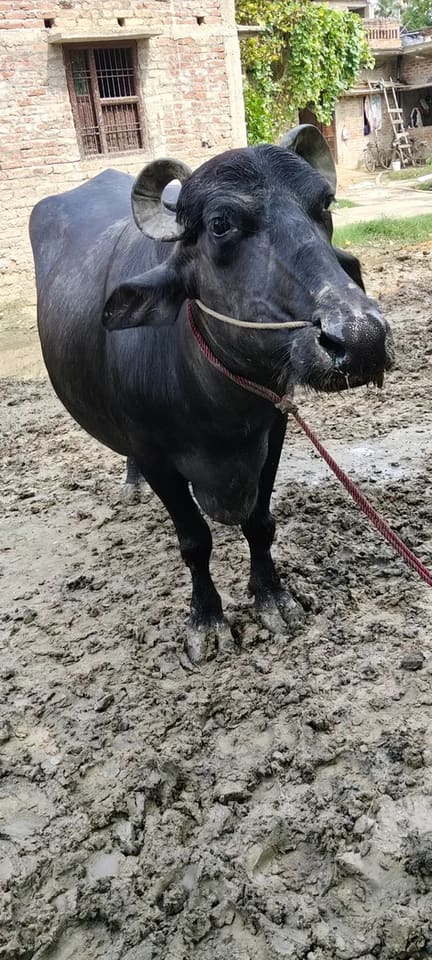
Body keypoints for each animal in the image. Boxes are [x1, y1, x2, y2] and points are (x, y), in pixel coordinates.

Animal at [30, 125, 394, 662]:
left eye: (323, 206)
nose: (362, 339)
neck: (215, 408)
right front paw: (207, 620)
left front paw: (272, 597)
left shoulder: (272, 431)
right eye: (221, 224)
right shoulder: (156, 455)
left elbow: (259, 522)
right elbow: (195, 541)